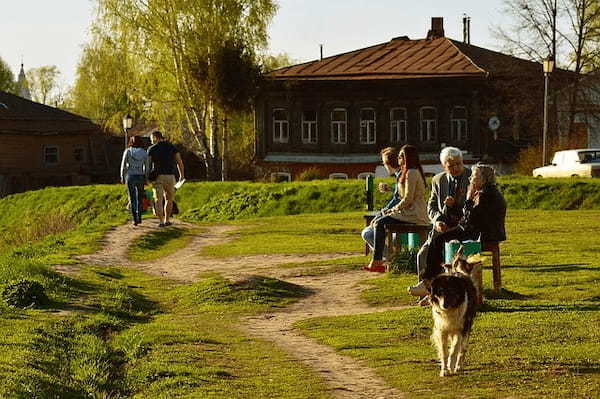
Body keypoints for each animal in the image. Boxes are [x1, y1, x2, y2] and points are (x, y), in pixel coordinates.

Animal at [428, 247, 480, 378]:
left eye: (452, 291)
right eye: (439, 292)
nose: (444, 305)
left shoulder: (461, 329)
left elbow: (454, 349)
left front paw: (451, 367)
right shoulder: (441, 329)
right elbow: (444, 352)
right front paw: (444, 370)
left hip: (467, 326)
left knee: (462, 349)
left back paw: (458, 366)